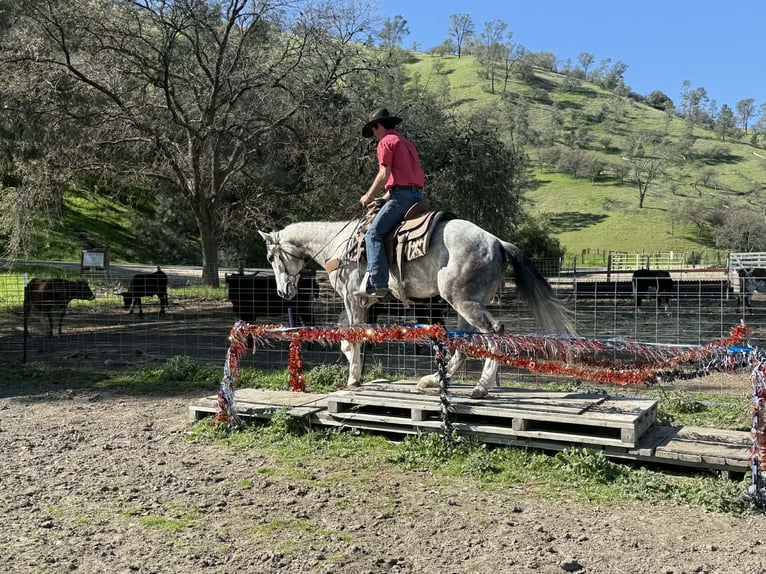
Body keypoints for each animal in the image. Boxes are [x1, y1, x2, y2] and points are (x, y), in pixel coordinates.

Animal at [258, 219, 574, 398]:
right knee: (465, 342)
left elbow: (353, 336)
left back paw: (481, 387)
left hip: (462, 301)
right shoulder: (361, 303)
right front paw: (354, 371)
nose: (282, 292)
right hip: (465, 304)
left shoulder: (351, 297)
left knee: (494, 332)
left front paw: (353, 379)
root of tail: (496, 241)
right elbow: (348, 335)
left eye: (272, 257)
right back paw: (434, 380)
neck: (337, 244)